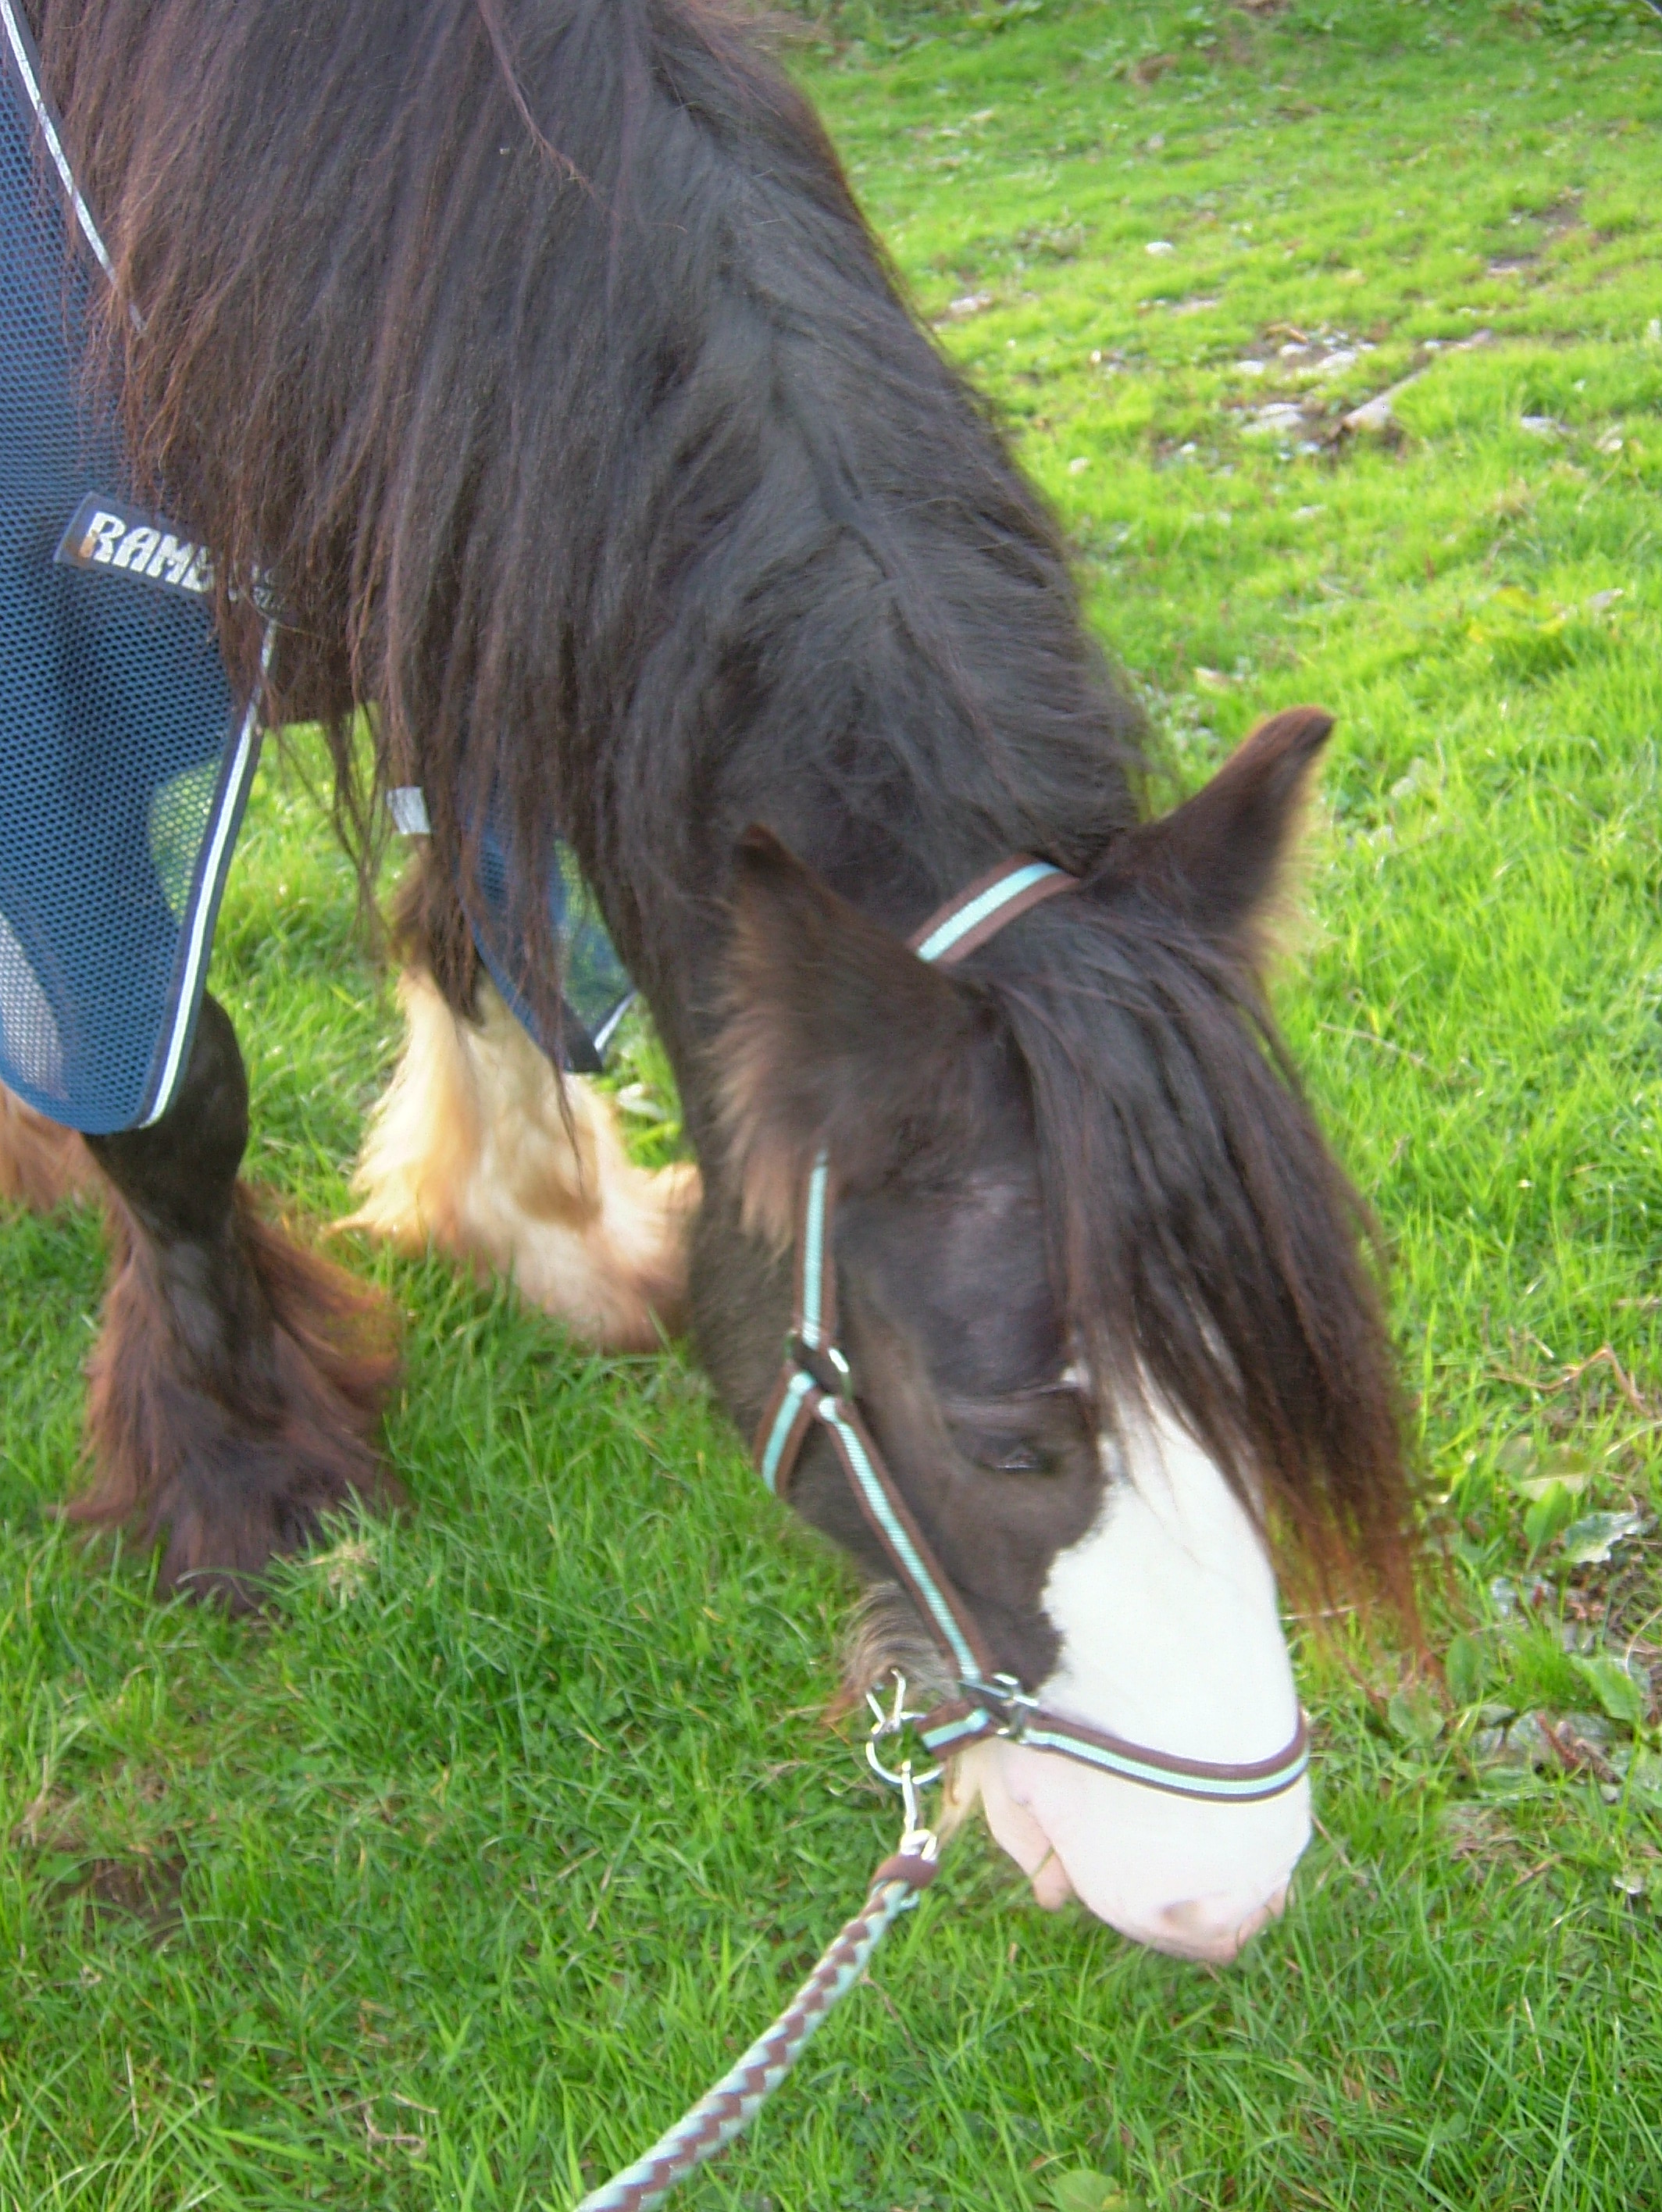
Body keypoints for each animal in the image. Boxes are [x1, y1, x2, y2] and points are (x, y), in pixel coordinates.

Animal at [9, 0, 1417, 1962]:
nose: (1222, 1893)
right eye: (1004, 1446)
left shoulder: (464, 556)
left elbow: (480, 925)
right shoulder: (68, 685)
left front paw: (540, 1227)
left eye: (1265, 1393)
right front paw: (239, 1479)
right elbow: (173, 1099)